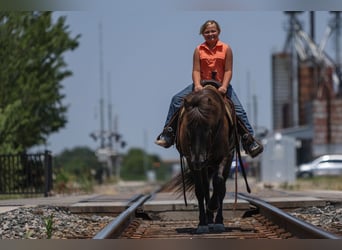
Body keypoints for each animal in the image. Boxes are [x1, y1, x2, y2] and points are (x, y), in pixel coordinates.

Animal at [172, 83, 242, 233]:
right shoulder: (191, 159)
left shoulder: (226, 155)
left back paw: (217, 220)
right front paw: (202, 224)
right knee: (205, 187)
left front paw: (214, 209)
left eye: (208, 128)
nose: (199, 160)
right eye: (188, 129)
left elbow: (219, 183)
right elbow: (200, 189)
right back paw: (209, 220)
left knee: (220, 187)